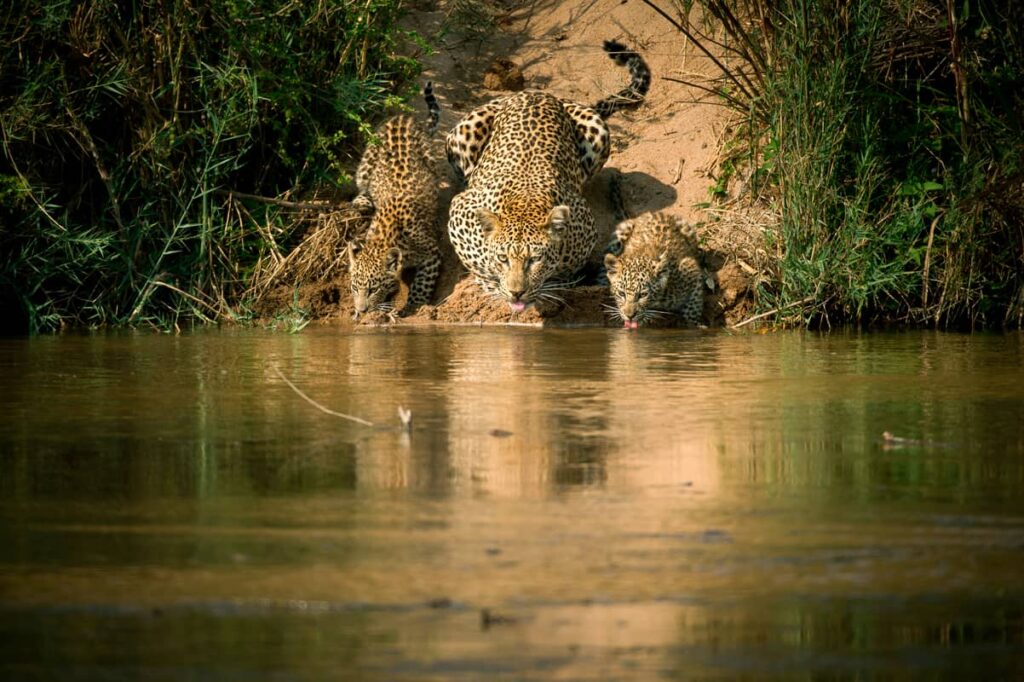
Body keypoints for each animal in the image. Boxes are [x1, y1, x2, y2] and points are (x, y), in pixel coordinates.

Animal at [347, 82, 442, 319]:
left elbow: (421, 285)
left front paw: (413, 306)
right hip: (365, 166)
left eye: (373, 289)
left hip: (431, 160)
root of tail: (402, 116)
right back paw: (362, 202)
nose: (361, 310)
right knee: (362, 188)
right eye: (354, 287)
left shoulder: (432, 255)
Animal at [444, 40, 651, 312]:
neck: (523, 204)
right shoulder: (460, 210)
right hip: (463, 133)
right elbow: (476, 262)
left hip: (598, 130)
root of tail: (539, 93)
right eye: (503, 258)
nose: (516, 293)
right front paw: (490, 282)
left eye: (535, 259)